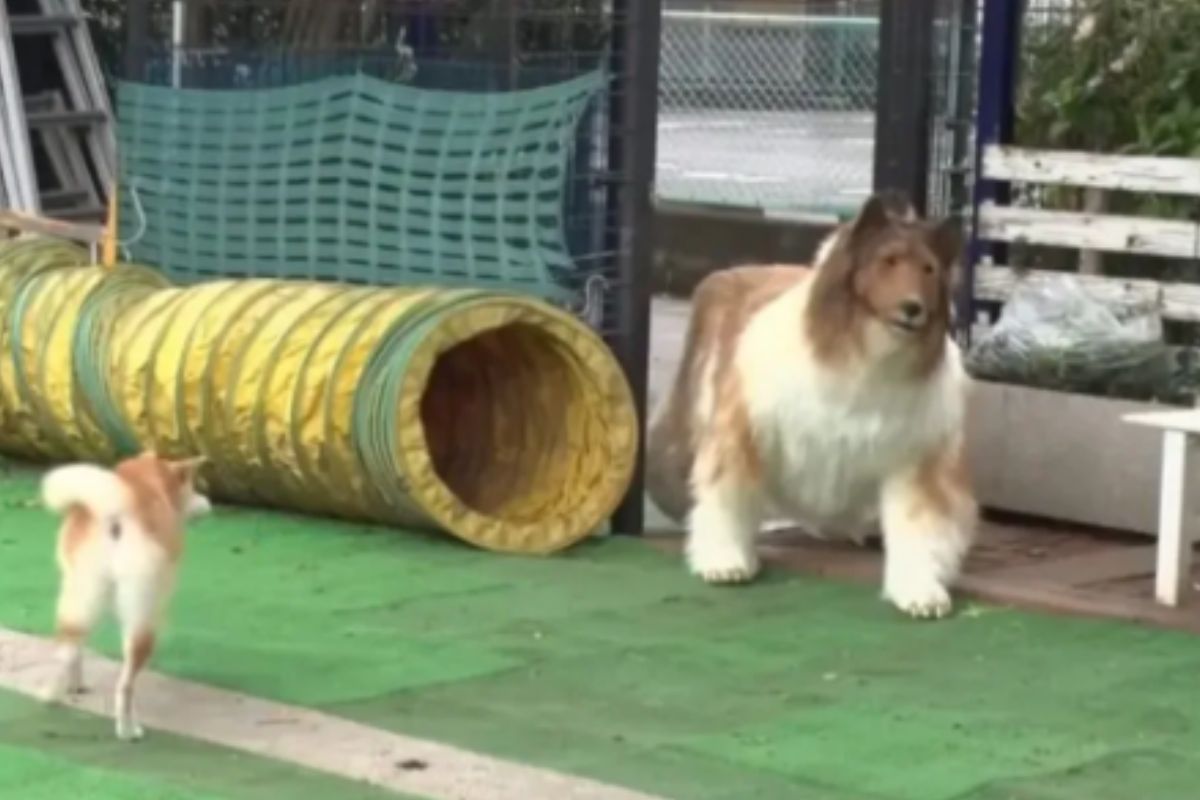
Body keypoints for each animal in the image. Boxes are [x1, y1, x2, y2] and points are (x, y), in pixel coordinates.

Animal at [41, 453, 211, 743]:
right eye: (192, 487)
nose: (209, 503)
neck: (147, 479)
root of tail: (114, 514)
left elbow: (77, 654)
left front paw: (75, 685)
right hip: (142, 619)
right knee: (125, 685)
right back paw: (128, 730)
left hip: (77, 601)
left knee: (66, 652)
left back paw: (52, 694)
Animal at [648, 191, 974, 618]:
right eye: (888, 261)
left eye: (929, 269)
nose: (913, 308)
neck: (864, 356)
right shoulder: (743, 430)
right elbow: (728, 497)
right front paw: (725, 562)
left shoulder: (914, 460)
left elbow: (918, 528)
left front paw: (919, 592)